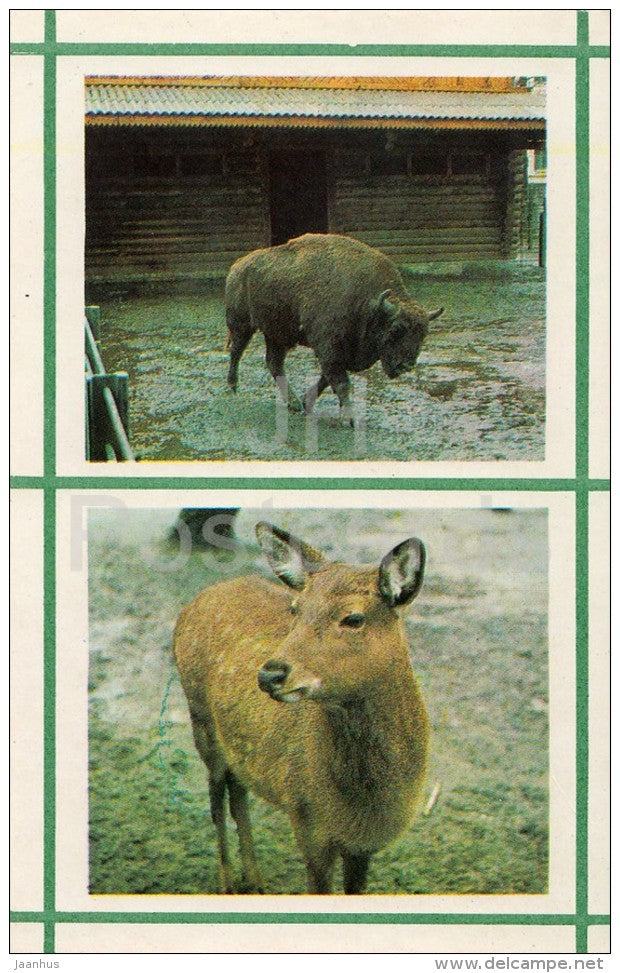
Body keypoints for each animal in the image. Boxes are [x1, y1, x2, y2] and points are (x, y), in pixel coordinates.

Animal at [173, 522, 429, 895]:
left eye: (354, 618)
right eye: (296, 609)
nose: (270, 674)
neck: (364, 806)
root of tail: (198, 598)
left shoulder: (364, 845)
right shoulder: (307, 821)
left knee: (238, 791)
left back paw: (256, 880)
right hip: (200, 719)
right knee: (216, 800)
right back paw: (229, 883)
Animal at [225, 233, 444, 425]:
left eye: (423, 334)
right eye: (396, 329)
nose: (406, 365)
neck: (368, 302)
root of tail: (237, 266)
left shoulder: (340, 353)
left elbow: (327, 379)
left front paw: (307, 402)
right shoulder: (329, 349)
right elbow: (341, 382)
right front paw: (349, 419)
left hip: (278, 334)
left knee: (274, 363)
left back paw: (293, 403)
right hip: (242, 325)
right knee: (236, 352)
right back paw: (232, 387)